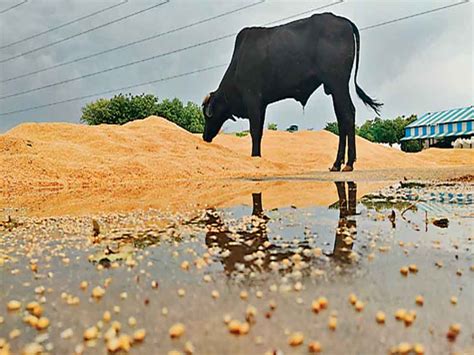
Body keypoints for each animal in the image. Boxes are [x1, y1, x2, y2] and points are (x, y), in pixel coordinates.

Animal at [201, 13, 382, 174]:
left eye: (207, 115)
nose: (205, 136)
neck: (238, 63)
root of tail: (344, 21)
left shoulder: (253, 99)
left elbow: (255, 131)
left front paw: (255, 157)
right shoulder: (262, 105)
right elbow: (259, 132)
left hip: (338, 85)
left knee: (347, 115)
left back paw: (348, 163)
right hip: (335, 89)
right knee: (342, 118)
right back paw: (338, 164)